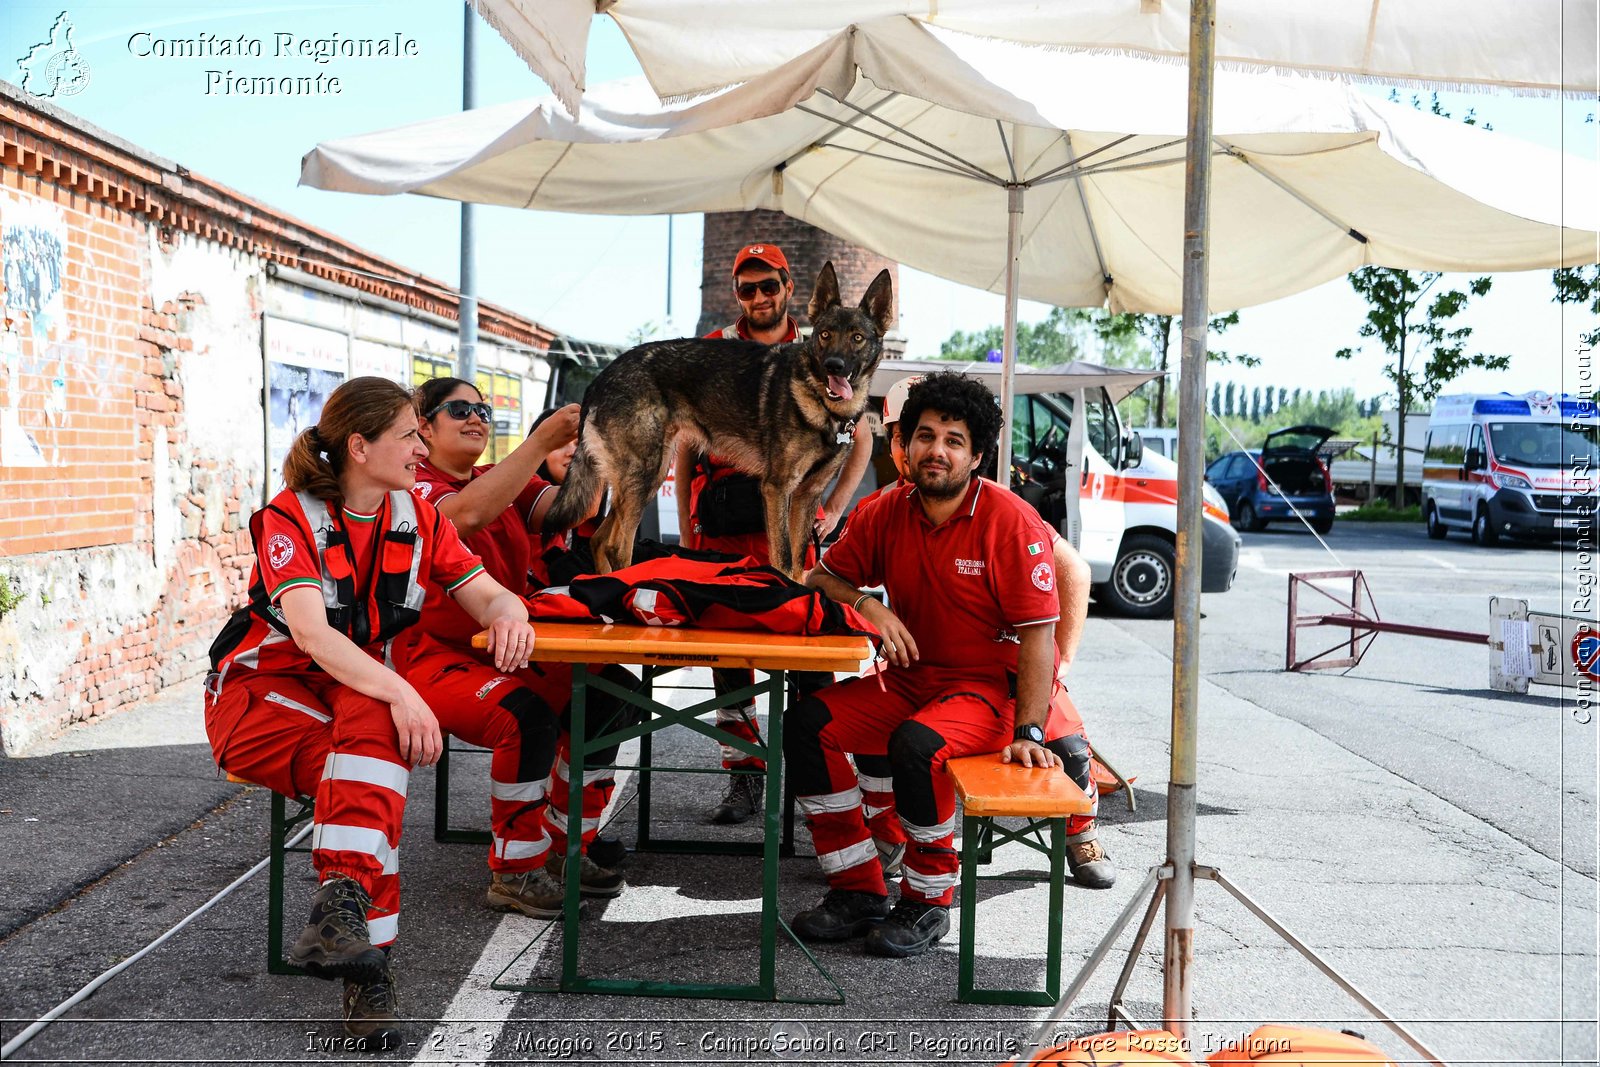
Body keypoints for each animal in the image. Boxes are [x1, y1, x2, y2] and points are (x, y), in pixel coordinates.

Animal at [540, 262, 896, 579]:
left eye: (857, 338)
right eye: (824, 335)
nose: (835, 366)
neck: (822, 406)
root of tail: (601, 377)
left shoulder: (806, 496)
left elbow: (796, 565)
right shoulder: (778, 489)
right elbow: (782, 559)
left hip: (646, 478)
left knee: (599, 540)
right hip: (644, 476)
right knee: (616, 547)